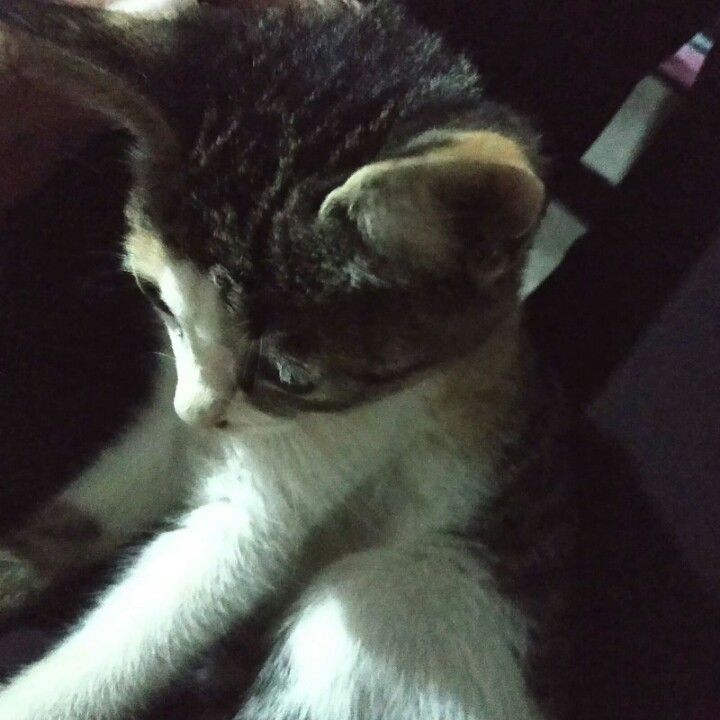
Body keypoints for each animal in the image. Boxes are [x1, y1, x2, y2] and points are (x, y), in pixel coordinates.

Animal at [0, 1, 575, 719]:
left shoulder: (345, 451)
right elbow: (100, 499)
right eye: (157, 301)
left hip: (402, 594)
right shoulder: (170, 416)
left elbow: (159, 618)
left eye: (287, 377)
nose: (198, 413)